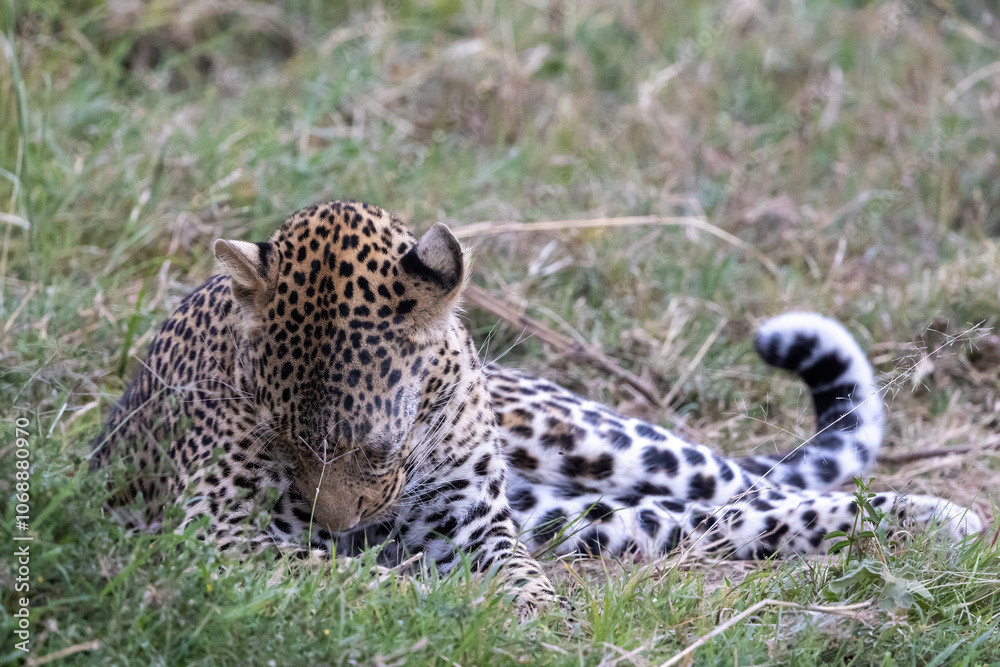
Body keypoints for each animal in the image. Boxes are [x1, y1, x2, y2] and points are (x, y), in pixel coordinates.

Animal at [91, 199, 982, 618]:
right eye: (280, 433)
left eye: (377, 448)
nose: (341, 522)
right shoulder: (216, 533)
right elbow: (332, 568)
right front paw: (418, 590)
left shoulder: (472, 527)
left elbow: (511, 571)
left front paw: (524, 609)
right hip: (585, 518)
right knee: (714, 520)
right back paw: (932, 522)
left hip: (606, 444)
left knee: (748, 487)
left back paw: (941, 517)